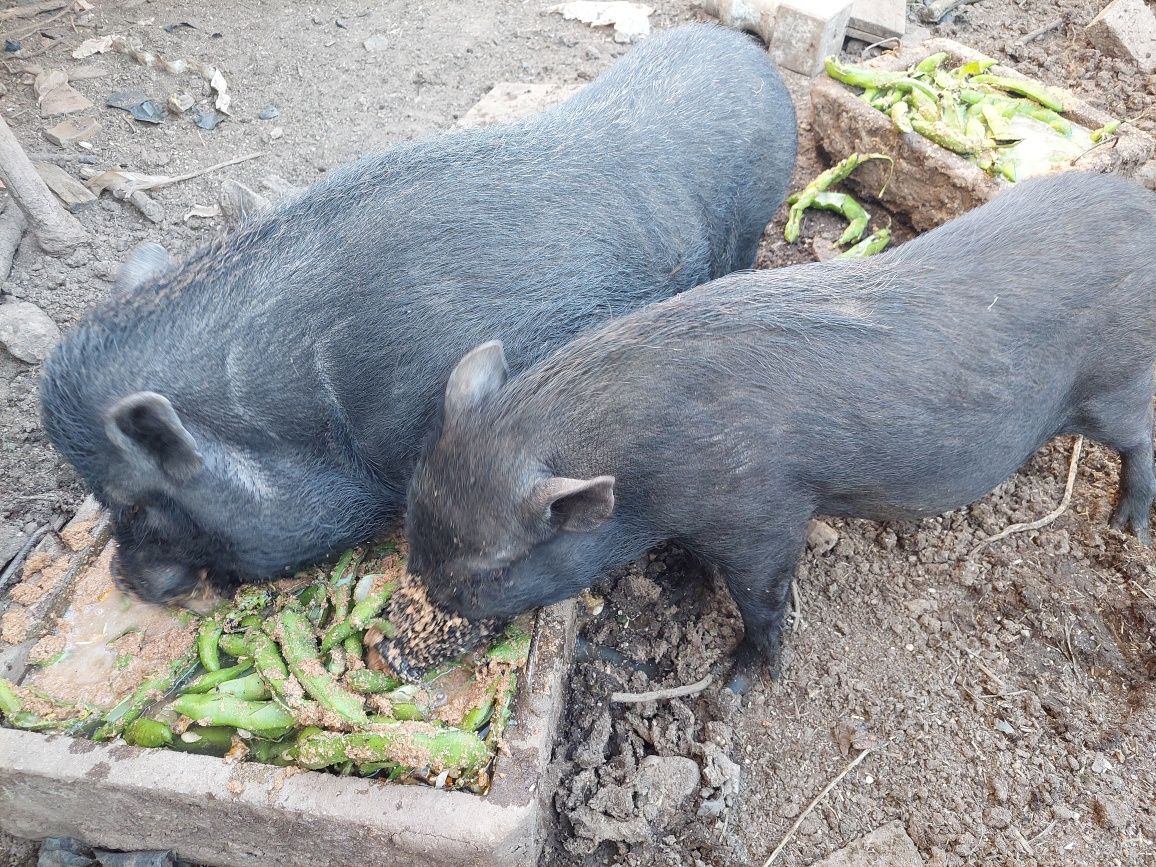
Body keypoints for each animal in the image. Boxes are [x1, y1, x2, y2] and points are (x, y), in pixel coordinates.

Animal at [397, 171, 1156, 693]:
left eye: (490, 568)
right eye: (414, 523)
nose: (425, 598)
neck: (644, 474)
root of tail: (1145, 210)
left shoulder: (763, 512)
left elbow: (763, 599)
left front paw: (736, 683)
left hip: (1114, 386)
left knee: (1140, 437)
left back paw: (1126, 523)